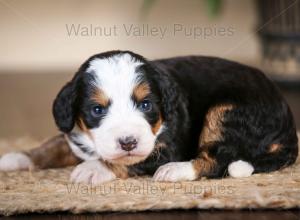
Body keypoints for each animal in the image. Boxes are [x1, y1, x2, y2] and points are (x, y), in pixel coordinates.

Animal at [0, 50, 298, 184]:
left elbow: (133, 160)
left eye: (145, 105)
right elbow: (55, 144)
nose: (128, 141)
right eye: (97, 110)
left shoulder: (168, 146)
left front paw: (94, 168)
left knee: (220, 158)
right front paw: (19, 157)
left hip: (226, 111)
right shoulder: (76, 135)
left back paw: (176, 170)